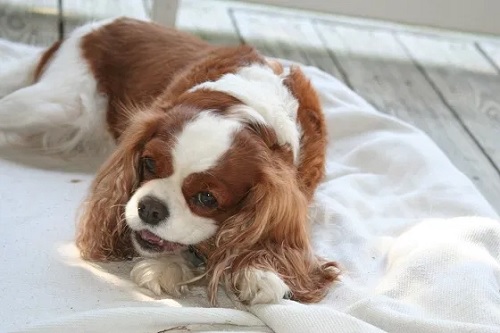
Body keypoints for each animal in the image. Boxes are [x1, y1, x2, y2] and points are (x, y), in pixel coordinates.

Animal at [0, 17, 340, 304]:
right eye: (149, 163)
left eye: (206, 197)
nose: (150, 208)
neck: (249, 110)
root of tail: (91, 28)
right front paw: (166, 266)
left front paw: (261, 269)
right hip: (59, 103)